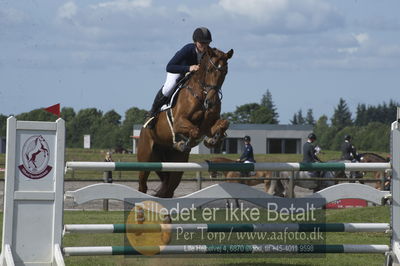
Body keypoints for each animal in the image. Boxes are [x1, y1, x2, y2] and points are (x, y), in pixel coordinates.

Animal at [137, 46, 233, 198]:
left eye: (225, 72)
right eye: (209, 70)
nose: (211, 102)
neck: (202, 94)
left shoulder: (209, 125)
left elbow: (223, 123)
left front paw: (213, 141)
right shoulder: (178, 123)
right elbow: (195, 130)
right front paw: (184, 143)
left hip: (173, 165)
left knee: (168, 189)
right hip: (146, 158)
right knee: (143, 186)